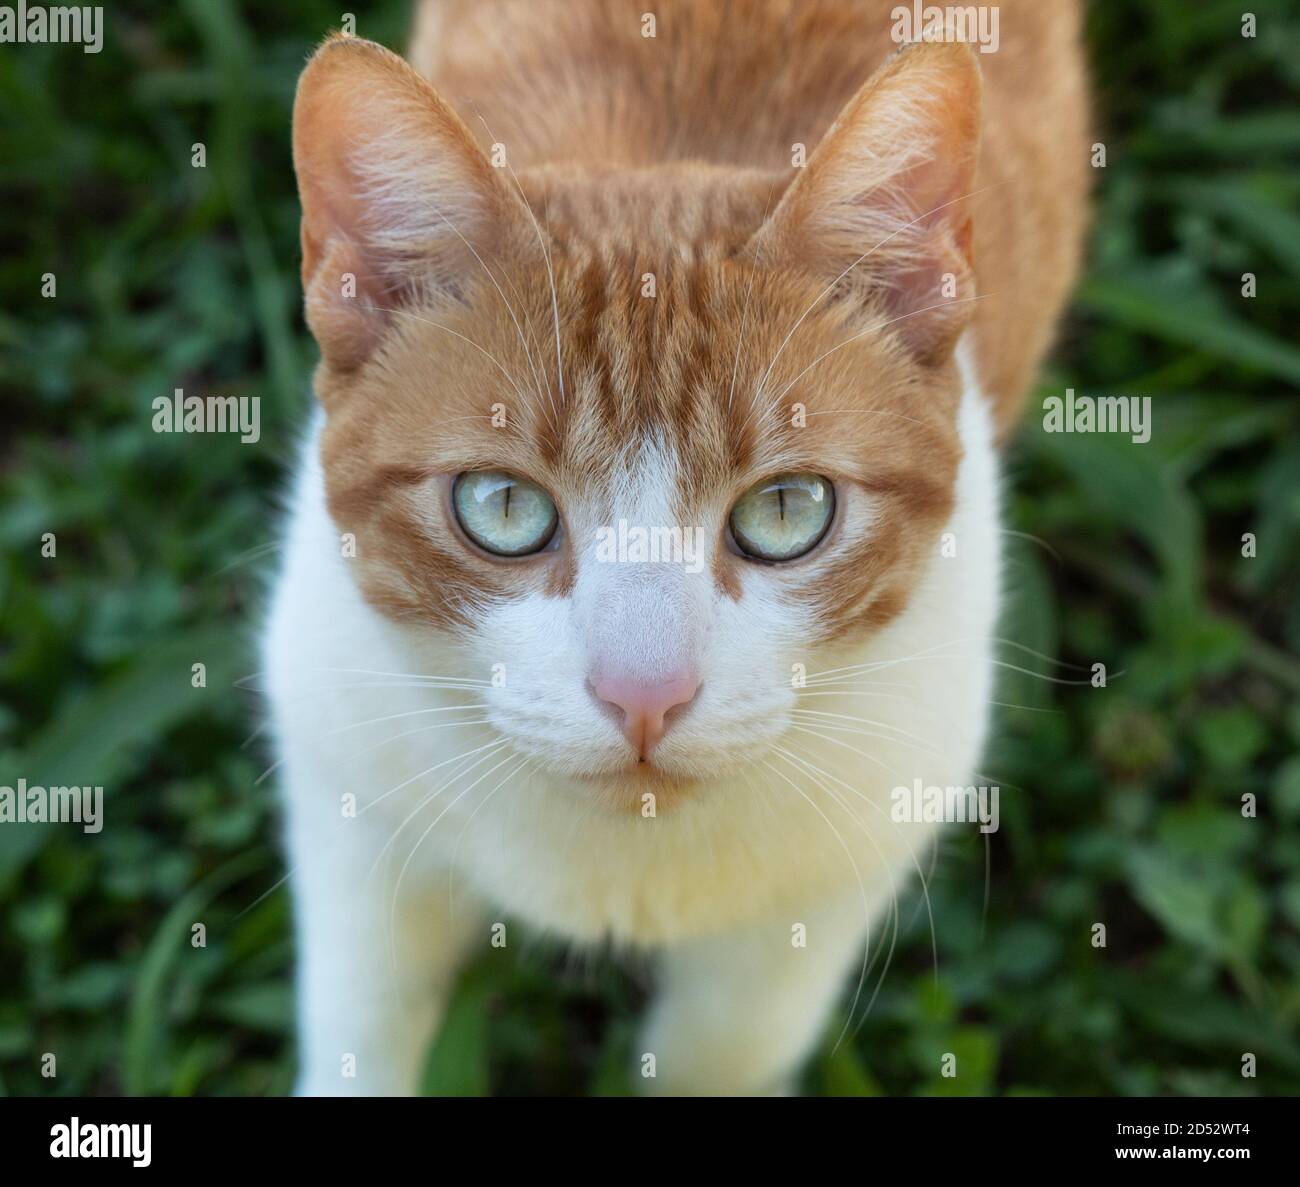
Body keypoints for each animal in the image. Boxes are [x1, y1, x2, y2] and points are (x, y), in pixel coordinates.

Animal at [269, 0, 1092, 1092]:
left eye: (785, 510)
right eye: (503, 506)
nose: (644, 694)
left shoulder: (820, 900)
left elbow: (719, 1049)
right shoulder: (347, 801)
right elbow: (363, 1023)